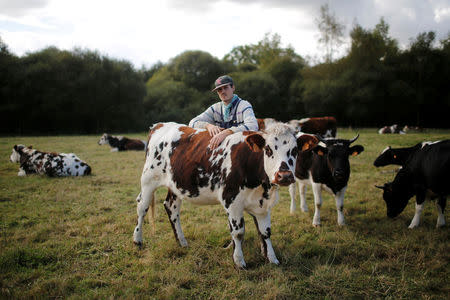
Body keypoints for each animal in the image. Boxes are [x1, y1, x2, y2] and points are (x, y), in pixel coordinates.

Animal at [132, 122, 318, 270]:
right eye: (268, 149)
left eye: (295, 150)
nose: (284, 175)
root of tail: (160, 125)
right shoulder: (232, 200)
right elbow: (238, 232)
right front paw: (239, 261)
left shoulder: (262, 205)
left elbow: (265, 232)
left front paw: (272, 259)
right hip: (148, 180)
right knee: (142, 208)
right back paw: (138, 240)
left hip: (176, 184)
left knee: (171, 208)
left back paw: (182, 242)